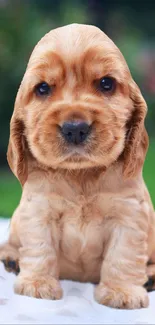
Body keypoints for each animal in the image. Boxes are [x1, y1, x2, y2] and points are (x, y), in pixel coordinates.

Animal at [0, 24, 155, 308]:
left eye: (106, 83)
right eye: (42, 89)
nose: (75, 128)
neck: (81, 174)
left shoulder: (128, 214)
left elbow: (122, 255)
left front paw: (121, 292)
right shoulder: (38, 211)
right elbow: (40, 248)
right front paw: (37, 284)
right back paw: (12, 259)